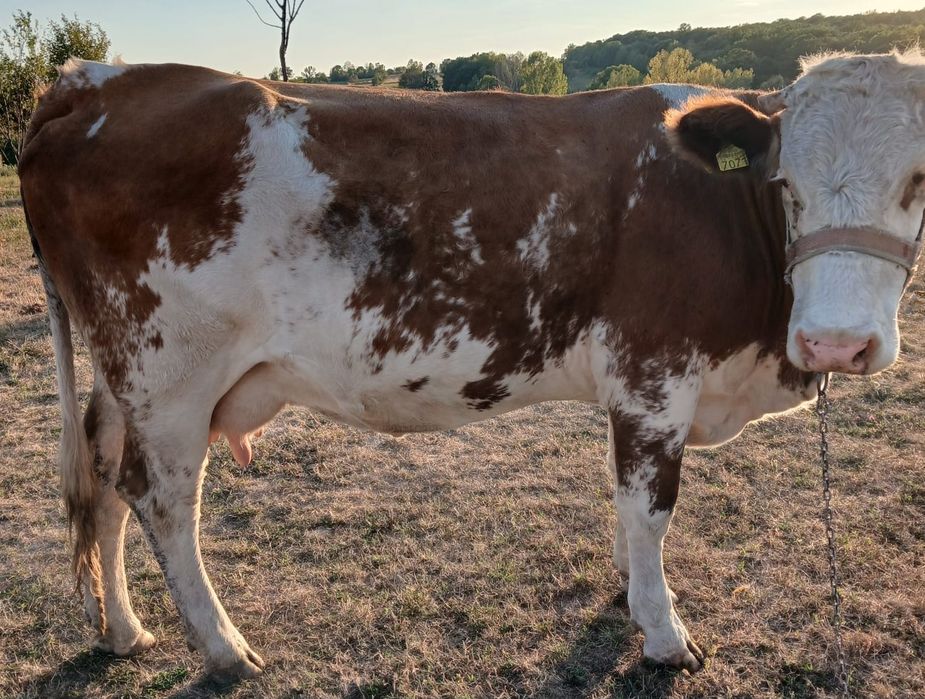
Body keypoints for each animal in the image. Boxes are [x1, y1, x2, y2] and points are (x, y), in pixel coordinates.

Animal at [19, 51, 923, 679]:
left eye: (919, 180)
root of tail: (95, 81)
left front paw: (630, 593)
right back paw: (224, 646)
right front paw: (664, 634)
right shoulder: (652, 374)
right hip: (171, 373)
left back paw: (123, 629)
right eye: (785, 182)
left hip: (123, 378)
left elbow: (628, 508)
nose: (834, 343)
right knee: (161, 497)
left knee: (104, 481)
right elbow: (650, 508)